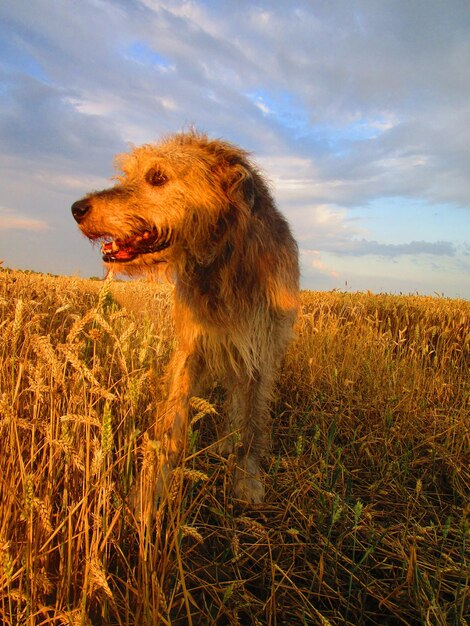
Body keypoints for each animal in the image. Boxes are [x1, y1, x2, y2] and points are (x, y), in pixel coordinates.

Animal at [71, 132, 300, 502]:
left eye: (157, 177)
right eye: (129, 175)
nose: (77, 208)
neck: (220, 262)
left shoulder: (258, 350)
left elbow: (252, 417)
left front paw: (247, 474)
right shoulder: (191, 348)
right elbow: (172, 420)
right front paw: (151, 488)